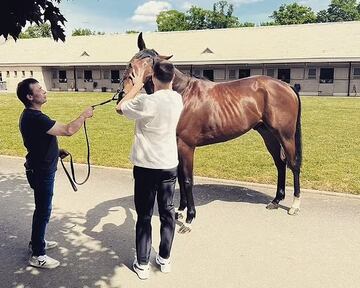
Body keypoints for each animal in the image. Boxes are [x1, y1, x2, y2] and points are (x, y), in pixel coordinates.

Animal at [120, 32, 300, 233]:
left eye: (150, 65)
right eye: (131, 63)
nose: (125, 92)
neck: (182, 95)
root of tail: (286, 86)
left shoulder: (186, 146)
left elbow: (188, 179)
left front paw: (189, 219)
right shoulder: (176, 145)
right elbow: (181, 178)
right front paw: (180, 210)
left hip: (285, 135)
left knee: (293, 164)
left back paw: (294, 205)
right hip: (268, 134)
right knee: (280, 164)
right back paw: (276, 200)